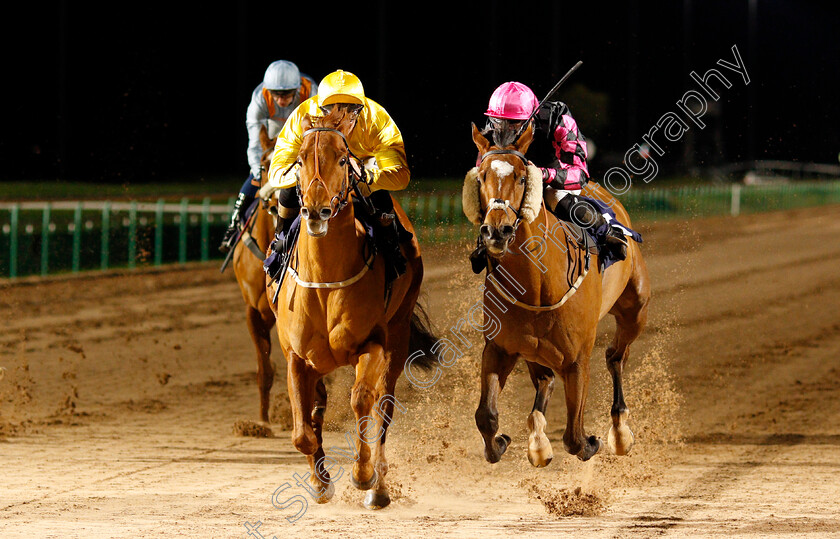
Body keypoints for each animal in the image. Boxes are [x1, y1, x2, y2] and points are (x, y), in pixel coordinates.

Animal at [268, 105, 440, 510]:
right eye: (300, 160)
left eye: (343, 160)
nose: (316, 211)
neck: (326, 278)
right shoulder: (296, 356)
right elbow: (302, 432)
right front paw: (320, 484)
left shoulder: (372, 344)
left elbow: (363, 401)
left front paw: (364, 476)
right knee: (316, 411)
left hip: (398, 335)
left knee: (384, 406)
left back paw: (379, 488)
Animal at [462, 124, 652, 466]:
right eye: (481, 176)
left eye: (521, 177)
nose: (497, 231)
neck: (537, 282)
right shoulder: (499, 348)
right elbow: (486, 416)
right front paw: (502, 442)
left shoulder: (577, 359)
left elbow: (574, 436)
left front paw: (593, 442)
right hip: (533, 349)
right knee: (545, 380)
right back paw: (538, 439)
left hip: (636, 310)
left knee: (615, 356)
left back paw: (619, 432)